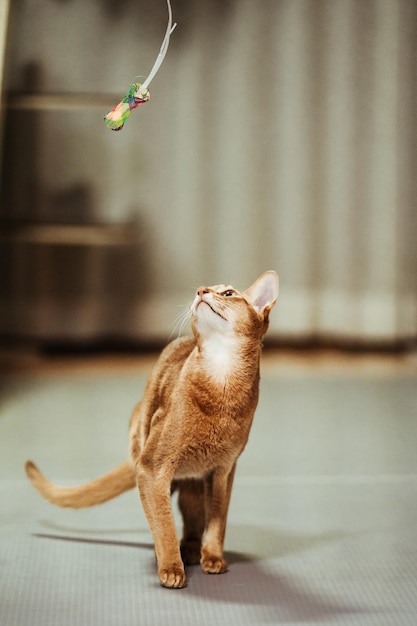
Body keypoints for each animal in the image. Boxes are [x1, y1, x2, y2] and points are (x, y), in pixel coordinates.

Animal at [26, 270, 280, 588]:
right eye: (206, 289)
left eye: (229, 294)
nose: (200, 291)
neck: (222, 377)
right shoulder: (153, 468)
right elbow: (163, 523)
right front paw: (171, 568)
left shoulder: (223, 471)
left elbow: (217, 521)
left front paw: (213, 557)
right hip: (145, 448)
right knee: (157, 516)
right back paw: (175, 554)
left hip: (194, 486)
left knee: (193, 522)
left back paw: (193, 550)